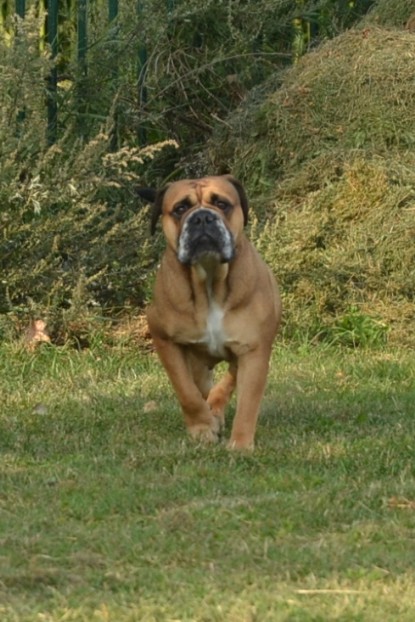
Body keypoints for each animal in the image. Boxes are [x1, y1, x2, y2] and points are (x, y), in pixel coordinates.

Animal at [139, 174, 282, 448]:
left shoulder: (254, 350)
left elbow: (248, 402)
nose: (203, 217)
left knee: (226, 382)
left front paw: (240, 445)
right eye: (180, 208)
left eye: (222, 204)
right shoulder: (165, 340)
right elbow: (186, 391)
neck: (209, 281)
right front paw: (202, 428)